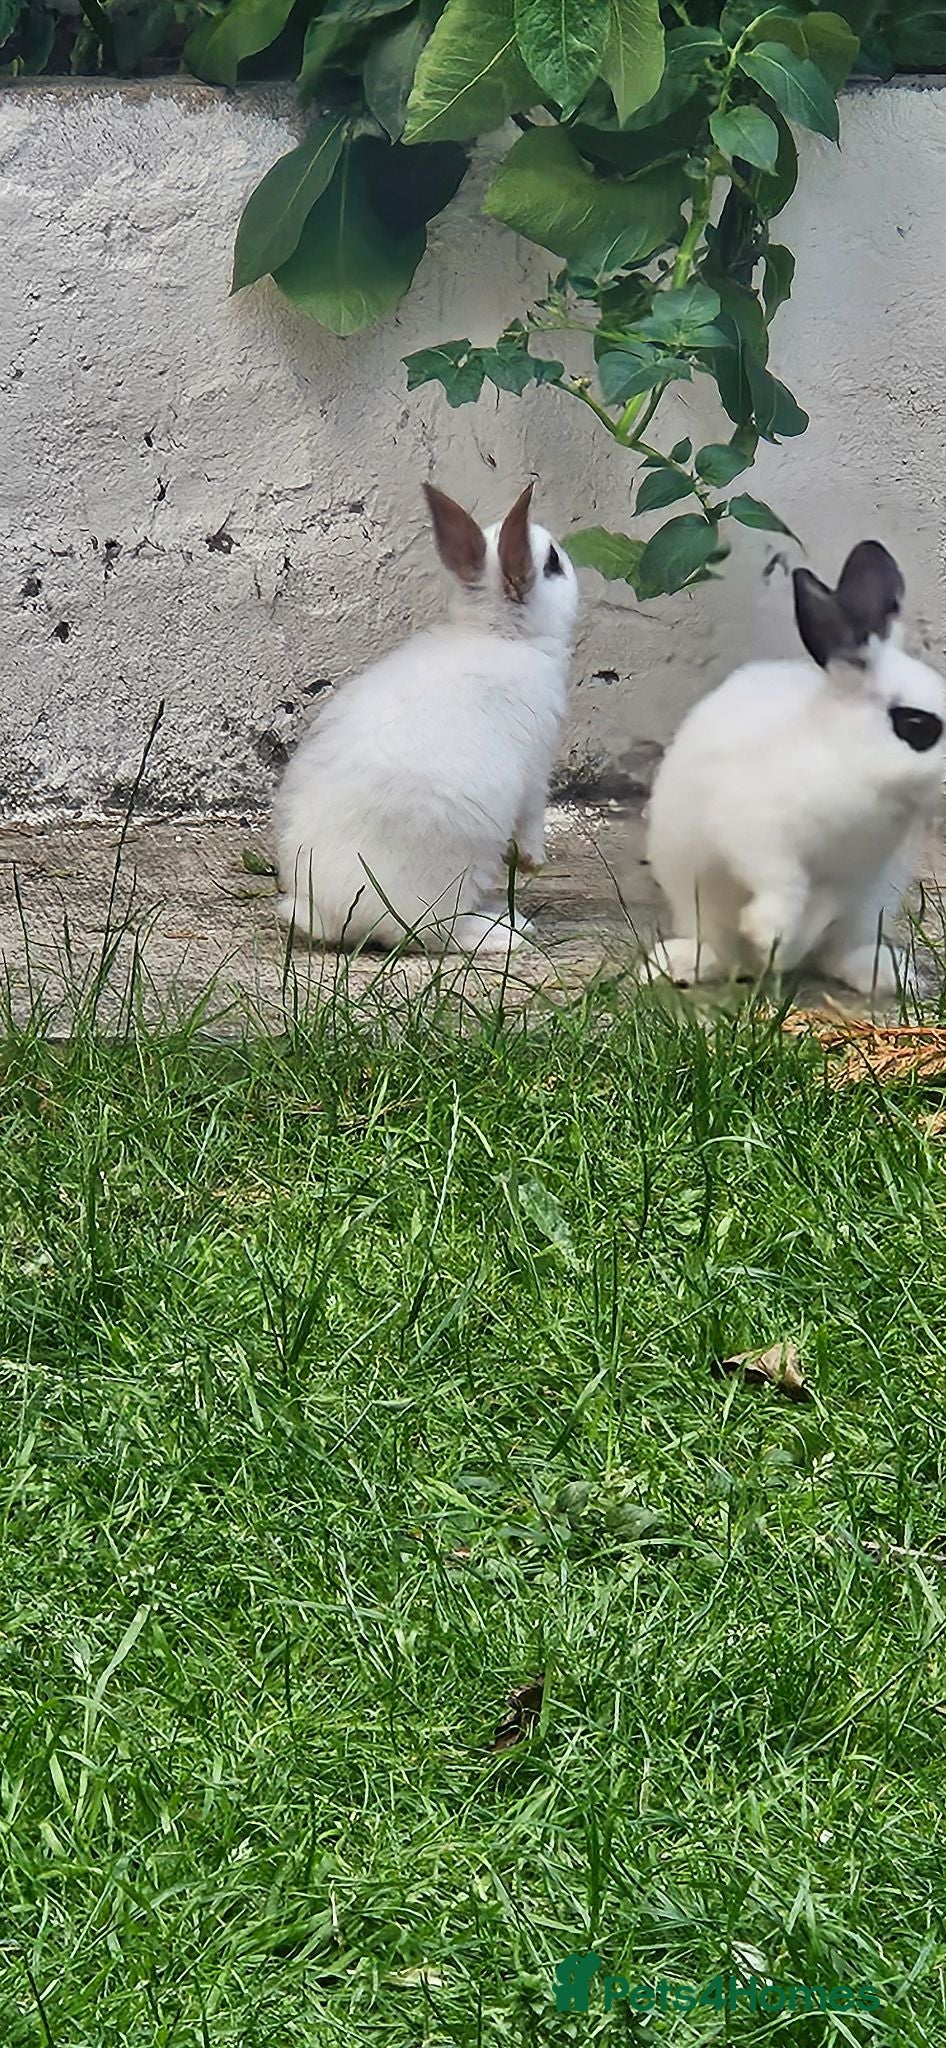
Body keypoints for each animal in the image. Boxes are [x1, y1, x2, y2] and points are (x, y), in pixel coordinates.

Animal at [274, 481, 578, 955]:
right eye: (552, 563)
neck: (500, 634)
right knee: (429, 932)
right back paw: (504, 930)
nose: (569, 559)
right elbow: (532, 820)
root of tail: (332, 914)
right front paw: (534, 863)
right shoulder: (535, 771)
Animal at [646, 539, 946, 996]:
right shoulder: (756, 833)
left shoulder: (854, 881)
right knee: (717, 949)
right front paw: (767, 933)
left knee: (836, 954)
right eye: (915, 725)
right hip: (696, 904)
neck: (848, 759)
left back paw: (888, 974)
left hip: (871, 905)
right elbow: (784, 884)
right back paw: (677, 965)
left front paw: (778, 944)